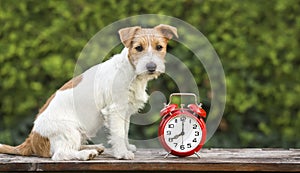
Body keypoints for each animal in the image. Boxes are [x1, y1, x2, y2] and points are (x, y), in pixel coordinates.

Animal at [0, 24, 178, 159]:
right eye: (138, 48)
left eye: (159, 47)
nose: (151, 67)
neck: (132, 73)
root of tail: (32, 139)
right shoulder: (116, 110)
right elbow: (118, 132)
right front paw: (122, 153)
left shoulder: (125, 111)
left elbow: (125, 131)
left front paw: (127, 147)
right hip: (69, 130)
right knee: (61, 154)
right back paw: (86, 154)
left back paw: (95, 148)